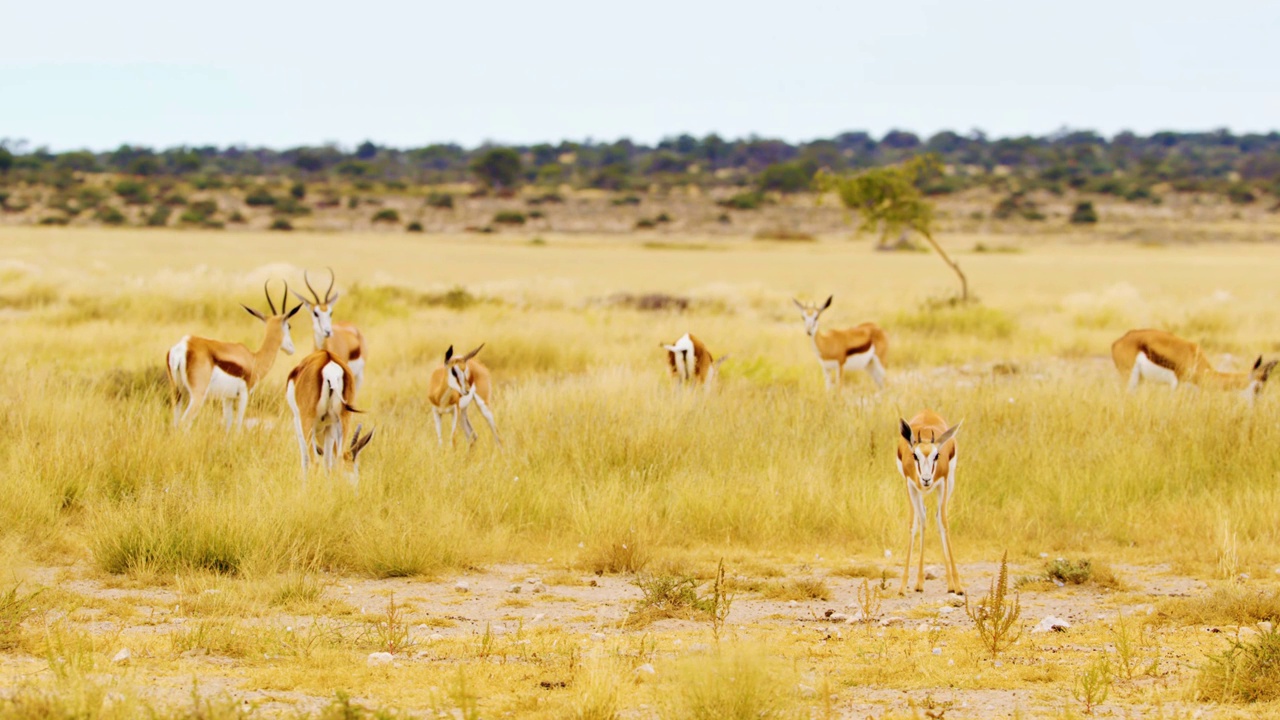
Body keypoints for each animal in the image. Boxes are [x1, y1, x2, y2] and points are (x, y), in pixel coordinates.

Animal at [166, 279, 300, 425]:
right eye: (289, 326)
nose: (292, 348)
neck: (253, 359)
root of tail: (183, 346)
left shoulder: (227, 398)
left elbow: (228, 425)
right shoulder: (244, 395)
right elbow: (238, 424)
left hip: (177, 393)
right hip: (197, 396)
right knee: (184, 422)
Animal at [286, 345, 373, 481]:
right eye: (357, 469)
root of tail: (329, 361)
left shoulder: (297, 420)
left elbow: (306, 460)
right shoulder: (330, 425)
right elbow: (328, 462)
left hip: (307, 421)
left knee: (314, 461)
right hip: (344, 418)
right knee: (338, 459)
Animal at [896, 409, 962, 594]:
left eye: (936, 455)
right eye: (915, 455)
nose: (926, 479)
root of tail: (928, 411)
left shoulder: (943, 483)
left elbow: (944, 523)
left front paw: (958, 585)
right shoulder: (910, 484)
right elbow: (912, 525)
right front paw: (902, 586)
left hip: (950, 484)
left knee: (938, 518)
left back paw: (949, 584)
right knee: (923, 518)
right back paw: (919, 582)